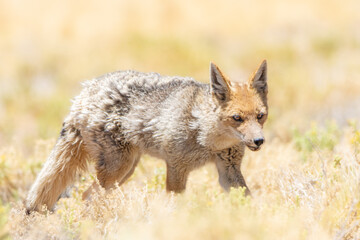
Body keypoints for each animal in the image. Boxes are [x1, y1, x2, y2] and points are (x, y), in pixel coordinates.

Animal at [25, 59, 268, 212]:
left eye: (261, 116)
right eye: (237, 118)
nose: (259, 141)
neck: (207, 139)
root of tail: (85, 92)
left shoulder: (228, 170)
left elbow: (247, 200)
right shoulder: (176, 167)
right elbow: (174, 205)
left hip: (125, 171)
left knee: (88, 196)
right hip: (117, 170)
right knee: (87, 196)